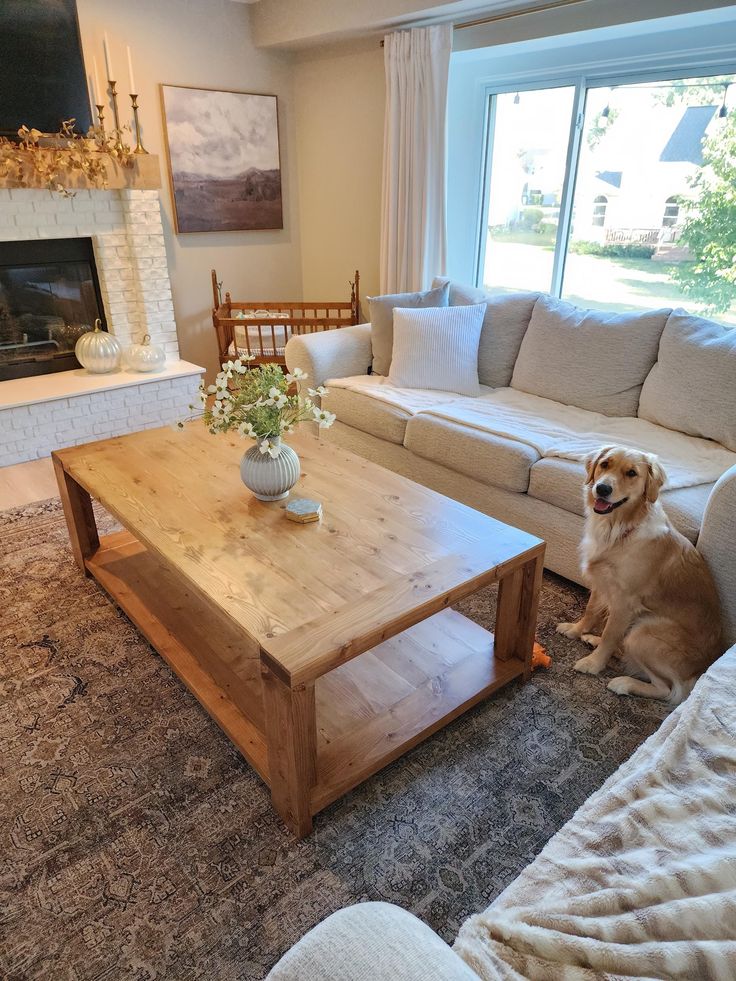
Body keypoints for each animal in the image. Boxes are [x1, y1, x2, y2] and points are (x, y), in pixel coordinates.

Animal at [556, 444, 720, 704]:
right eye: (605, 464)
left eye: (631, 473)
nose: (602, 488)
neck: (619, 528)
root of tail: (698, 673)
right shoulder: (601, 581)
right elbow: (591, 611)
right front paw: (576, 630)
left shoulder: (625, 601)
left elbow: (610, 634)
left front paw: (594, 664)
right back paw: (594, 640)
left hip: (642, 633)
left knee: (666, 690)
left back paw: (623, 683)